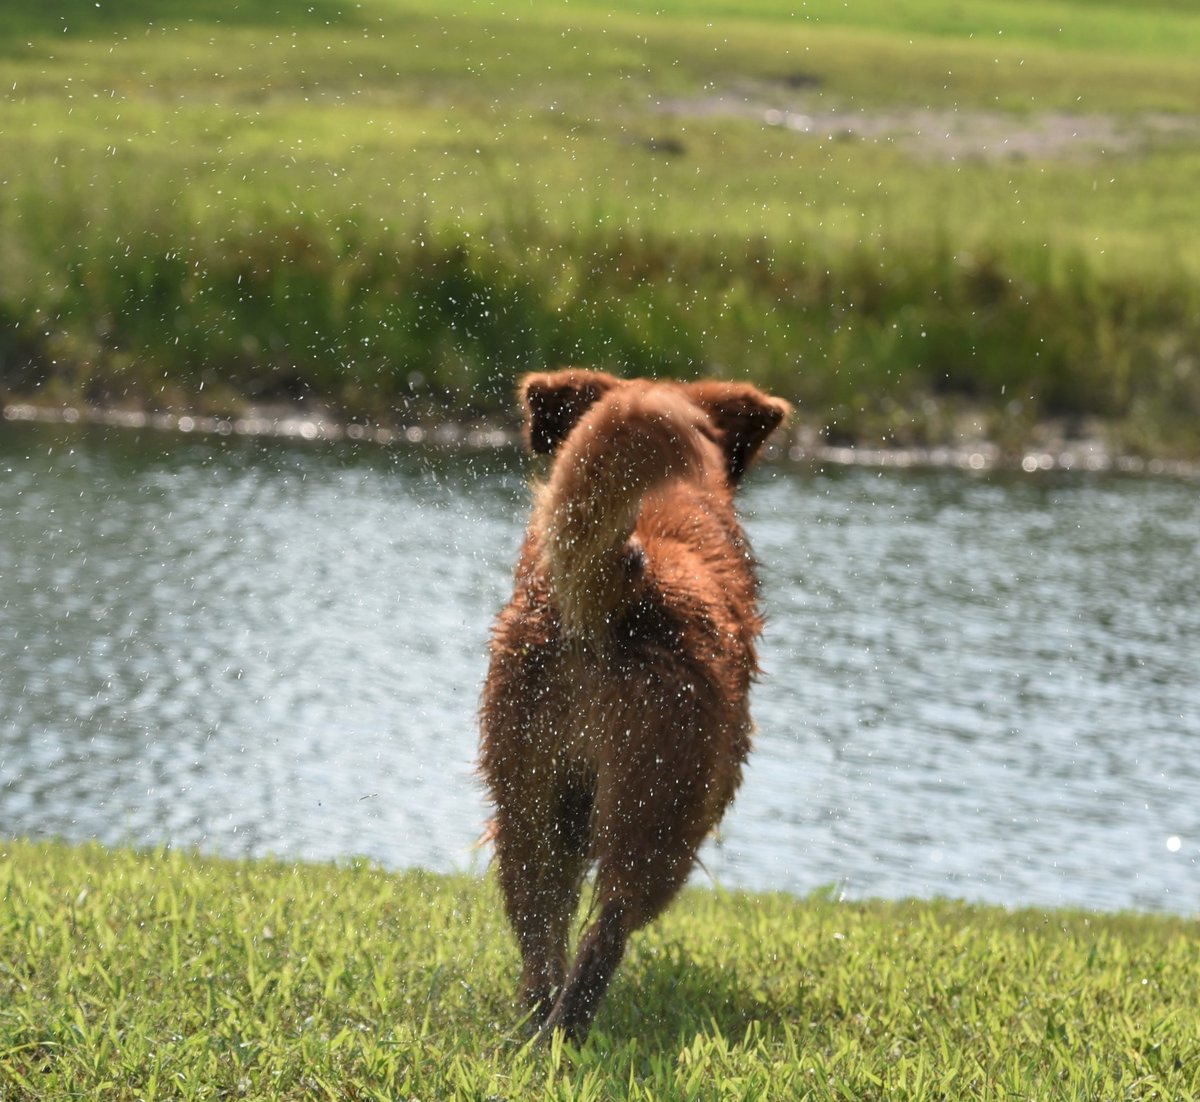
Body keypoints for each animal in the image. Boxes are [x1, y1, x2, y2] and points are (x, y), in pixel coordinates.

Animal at [477, 372, 787, 1041]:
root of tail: (628, 588)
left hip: (526, 803)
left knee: (539, 936)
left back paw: (535, 1027)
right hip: (659, 821)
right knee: (605, 934)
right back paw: (568, 1033)